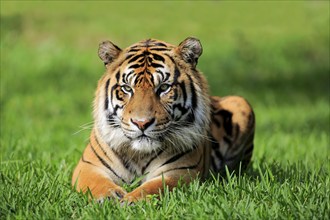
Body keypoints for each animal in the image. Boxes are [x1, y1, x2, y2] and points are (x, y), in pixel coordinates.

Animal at [72, 37, 255, 203]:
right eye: (127, 88)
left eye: (164, 88)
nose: (141, 123)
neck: (139, 155)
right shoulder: (88, 166)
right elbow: (96, 182)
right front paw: (109, 197)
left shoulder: (180, 172)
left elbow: (154, 187)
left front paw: (131, 201)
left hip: (241, 102)